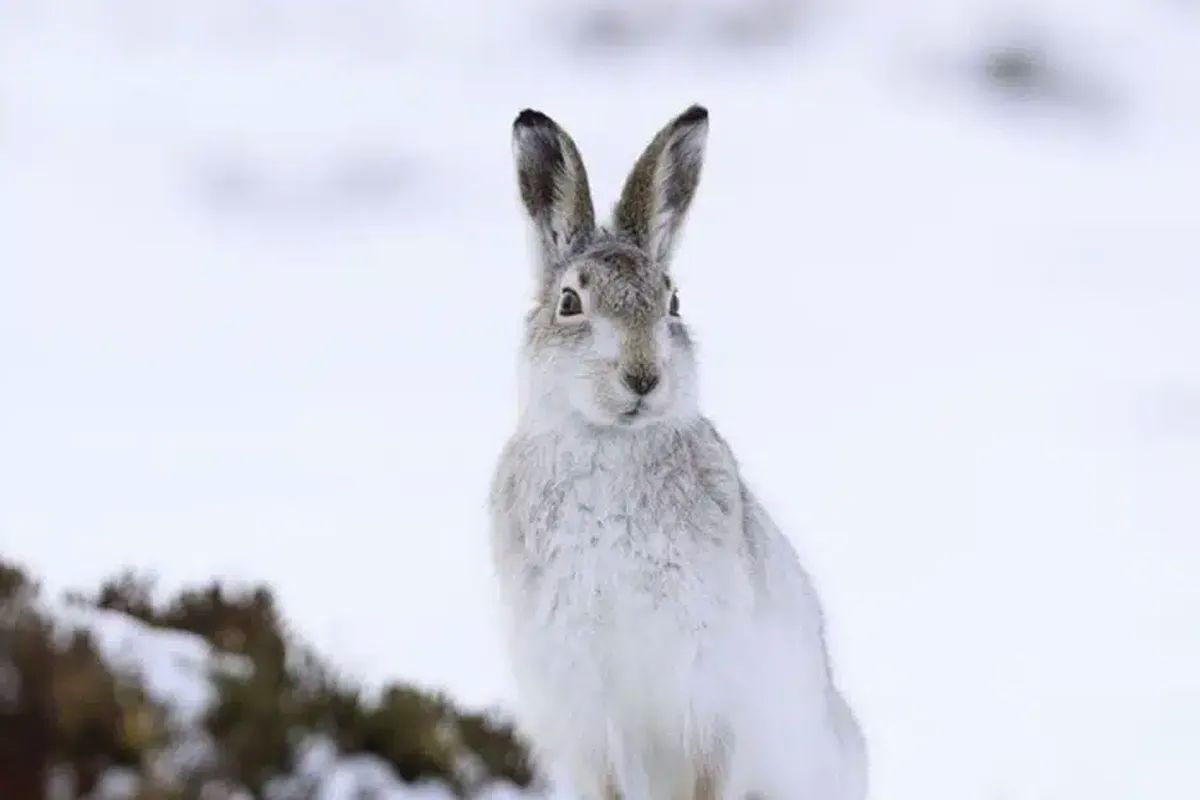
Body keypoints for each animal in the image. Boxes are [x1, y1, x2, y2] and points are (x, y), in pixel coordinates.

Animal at [489, 105, 867, 800]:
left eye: (673, 302)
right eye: (569, 302)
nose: (643, 377)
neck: (611, 443)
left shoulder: (709, 683)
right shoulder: (585, 696)